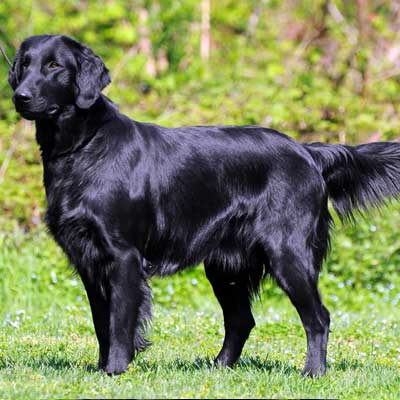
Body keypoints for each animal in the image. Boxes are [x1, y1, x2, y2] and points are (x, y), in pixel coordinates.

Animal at [7, 34, 400, 376]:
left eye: (55, 65)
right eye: (24, 64)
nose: (19, 96)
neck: (83, 146)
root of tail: (307, 152)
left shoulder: (123, 256)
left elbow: (119, 322)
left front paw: (115, 370)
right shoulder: (88, 260)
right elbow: (101, 322)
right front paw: (102, 368)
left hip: (288, 252)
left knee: (318, 317)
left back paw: (313, 372)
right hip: (225, 265)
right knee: (242, 320)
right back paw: (219, 367)